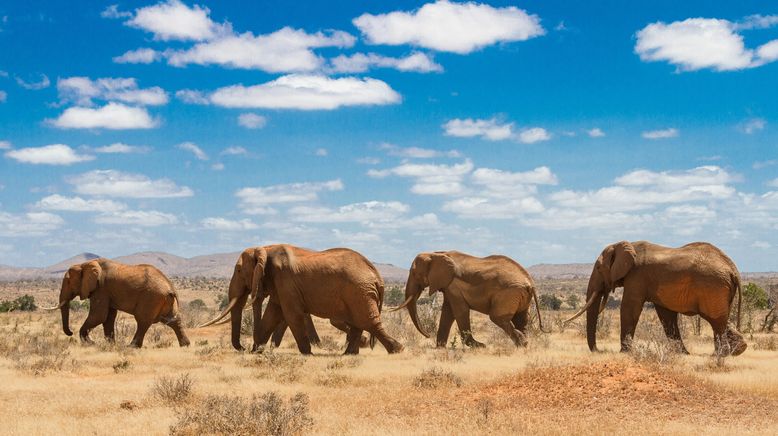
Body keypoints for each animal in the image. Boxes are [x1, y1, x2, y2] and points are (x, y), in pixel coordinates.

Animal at [46, 258, 190, 348]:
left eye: (68, 282)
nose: (70, 332)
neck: (84, 264)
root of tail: (171, 287)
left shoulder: (101, 289)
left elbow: (99, 316)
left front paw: (91, 343)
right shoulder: (107, 292)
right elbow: (108, 318)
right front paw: (110, 344)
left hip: (151, 298)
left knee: (142, 321)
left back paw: (131, 347)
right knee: (173, 321)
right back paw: (185, 345)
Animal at [199, 244, 400, 356]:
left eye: (239, 270)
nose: (243, 348)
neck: (265, 248)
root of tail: (377, 275)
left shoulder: (285, 280)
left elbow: (291, 314)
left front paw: (307, 353)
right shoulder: (280, 284)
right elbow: (273, 314)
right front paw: (257, 352)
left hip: (359, 291)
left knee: (368, 321)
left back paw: (397, 349)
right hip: (358, 293)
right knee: (359, 323)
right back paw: (349, 354)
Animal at [392, 252, 544, 348]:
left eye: (414, 273)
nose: (428, 335)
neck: (436, 253)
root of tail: (530, 282)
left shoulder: (453, 285)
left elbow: (460, 312)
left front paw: (480, 346)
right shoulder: (449, 286)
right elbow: (447, 312)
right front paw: (440, 347)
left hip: (508, 294)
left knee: (497, 317)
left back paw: (522, 343)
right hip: (519, 295)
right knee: (521, 319)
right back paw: (525, 344)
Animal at [564, 240, 744, 356]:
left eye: (598, 268)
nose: (599, 350)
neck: (625, 245)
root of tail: (733, 269)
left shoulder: (637, 276)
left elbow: (629, 308)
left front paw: (625, 352)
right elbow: (666, 315)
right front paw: (682, 353)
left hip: (713, 286)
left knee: (716, 320)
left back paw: (721, 355)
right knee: (721, 318)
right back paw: (737, 350)